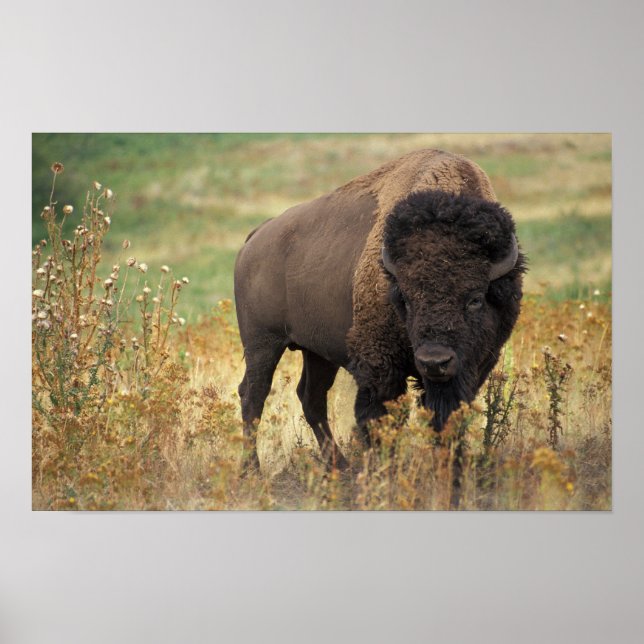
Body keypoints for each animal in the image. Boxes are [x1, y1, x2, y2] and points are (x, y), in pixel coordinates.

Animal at [234, 149, 525, 470]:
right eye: (406, 299)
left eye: (475, 298)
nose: (434, 361)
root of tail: (255, 237)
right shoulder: (380, 367)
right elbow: (379, 419)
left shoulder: (473, 367)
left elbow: (447, 417)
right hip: (262, 343)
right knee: (254, 395)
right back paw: (252, 469)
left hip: (317, 351)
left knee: (311, 397)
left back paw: (340, 466)